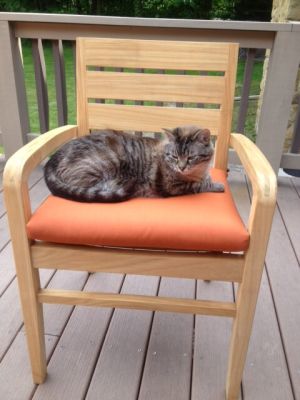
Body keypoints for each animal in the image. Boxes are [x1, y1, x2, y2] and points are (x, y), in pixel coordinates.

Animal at [43, 126, 224, 203]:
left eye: (191, 158)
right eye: (174, 156)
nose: (181, 167)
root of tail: (55, 156)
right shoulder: (172, 186)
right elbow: (199, 185)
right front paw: (217, 185)